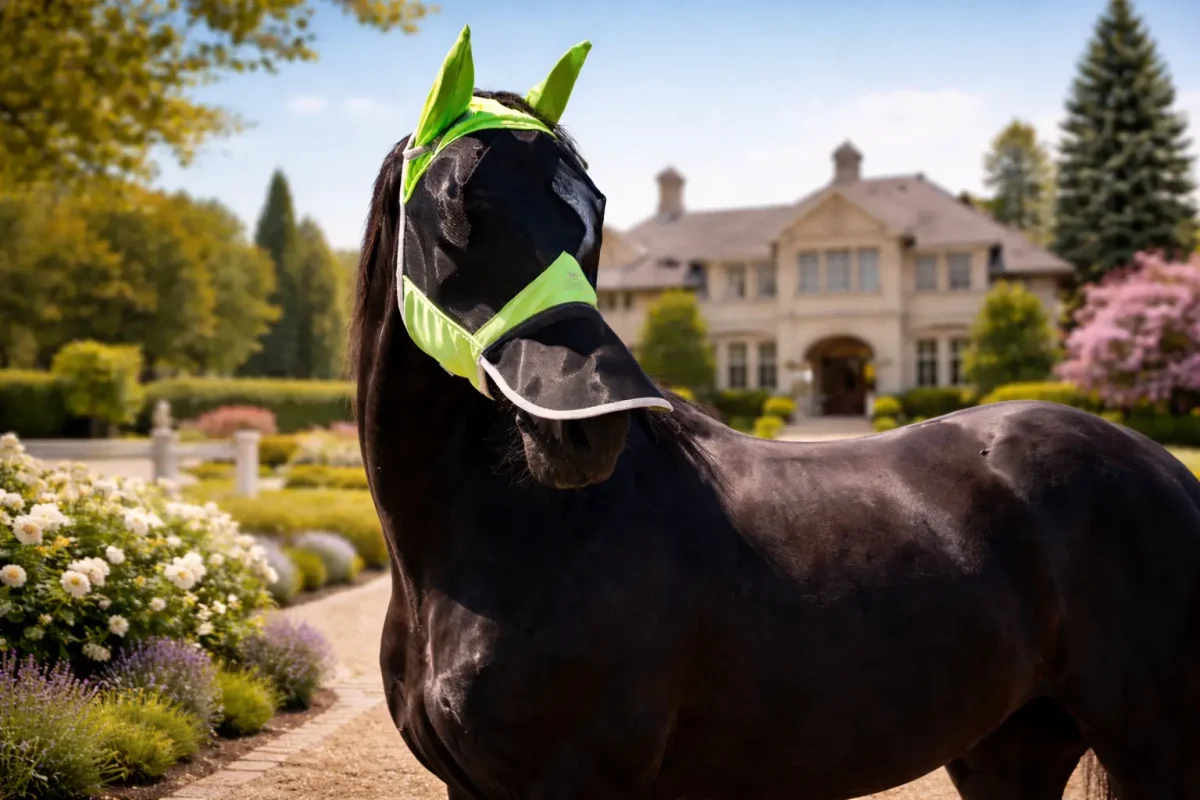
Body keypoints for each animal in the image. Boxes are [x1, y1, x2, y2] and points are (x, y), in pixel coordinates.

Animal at [350, 27, 1200, 800]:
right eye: (456, 206)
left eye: (592, 211)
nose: (585, 433)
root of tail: (1170, 472)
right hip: (1011, 747)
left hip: (1151, 747)